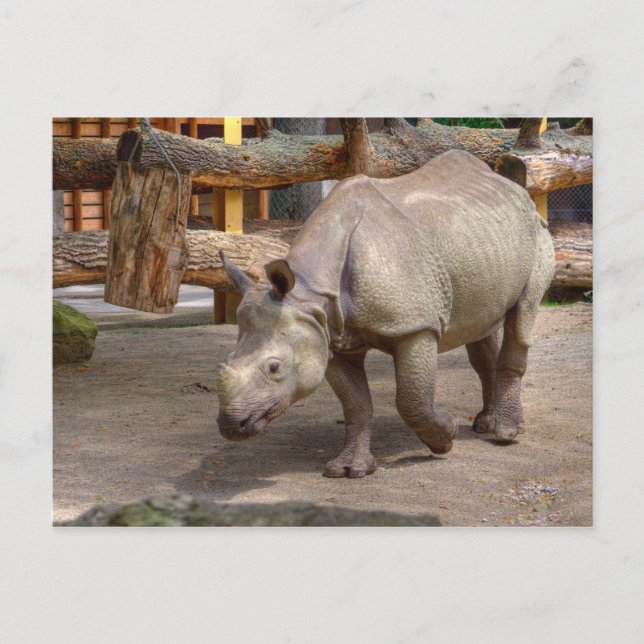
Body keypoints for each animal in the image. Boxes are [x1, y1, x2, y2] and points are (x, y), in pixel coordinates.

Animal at [215, 150, 555, 478]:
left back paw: (504, 432)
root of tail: (515, 189)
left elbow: (412, 400)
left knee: (522, 317)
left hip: (537, 234)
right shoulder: (328, 334)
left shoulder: (416, 325)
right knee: (482, 327)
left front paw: (446, 436)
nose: (230, 425)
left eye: (274, 367)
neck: (308, 293)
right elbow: (355, 404)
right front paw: (350, 470)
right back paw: (487, 423)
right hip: (482, 239)